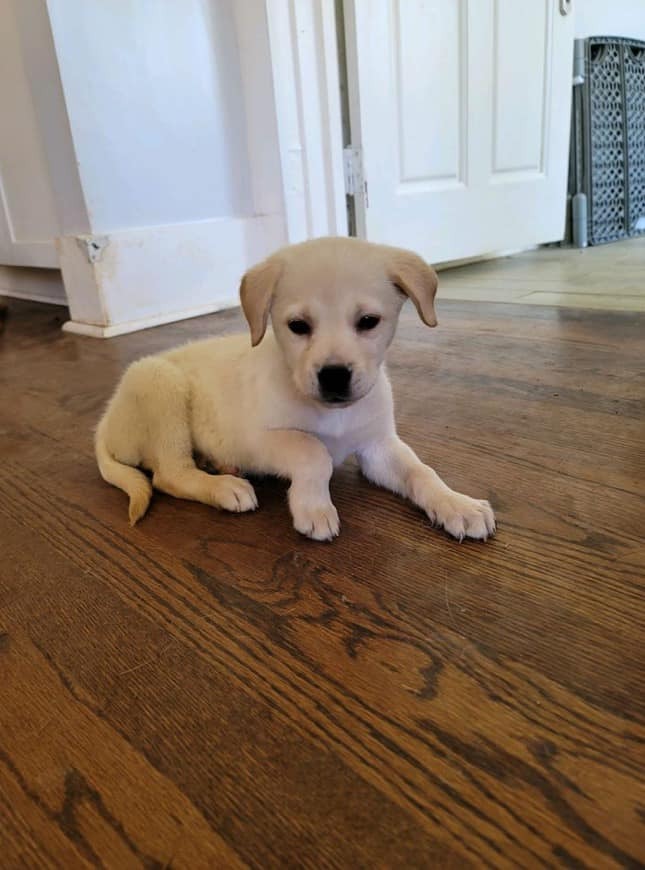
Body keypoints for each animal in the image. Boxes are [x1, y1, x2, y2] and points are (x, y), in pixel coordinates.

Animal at [94, 237, 494, 540]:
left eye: (368, 321)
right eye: (298, 326)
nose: (334, 376)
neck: (332, 414)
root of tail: (104, 422)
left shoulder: (378, 446)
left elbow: (420, 471)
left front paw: (456, 503)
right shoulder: (257, 440)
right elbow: (312, 451)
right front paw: (314, 507)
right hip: (159, 382)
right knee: (169, 475)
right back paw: (224, 487)